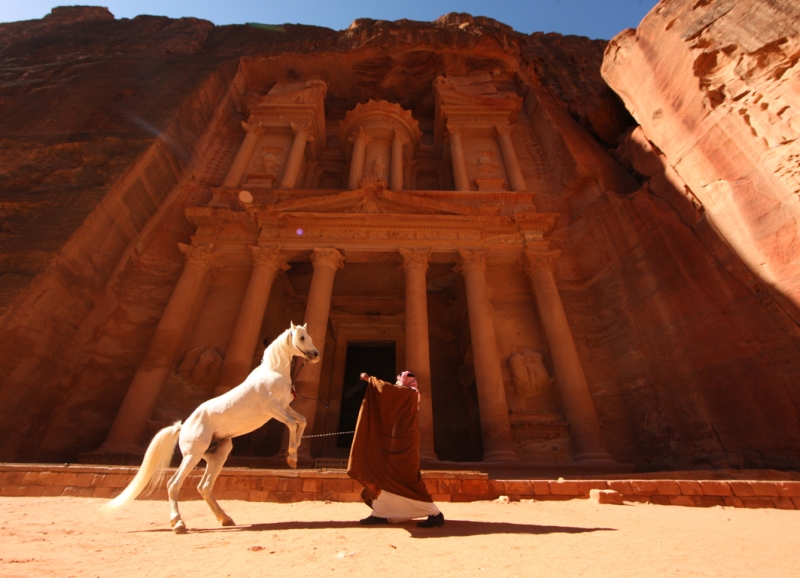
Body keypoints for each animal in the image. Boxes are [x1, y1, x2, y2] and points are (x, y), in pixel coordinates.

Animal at [103, 320, 318, 532]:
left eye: (310, 336)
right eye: (301, 337)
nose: (316, 354)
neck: (273, 372)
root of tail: (183, 426)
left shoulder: (284, 407)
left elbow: (302, 420)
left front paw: (294, 453)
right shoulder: (271, 409)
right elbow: (292, 424)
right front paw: (291, 456)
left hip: (218, 454)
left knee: (204, 487)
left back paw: (225, 519)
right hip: (193, 455)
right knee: (173, 484)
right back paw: (178, 523)